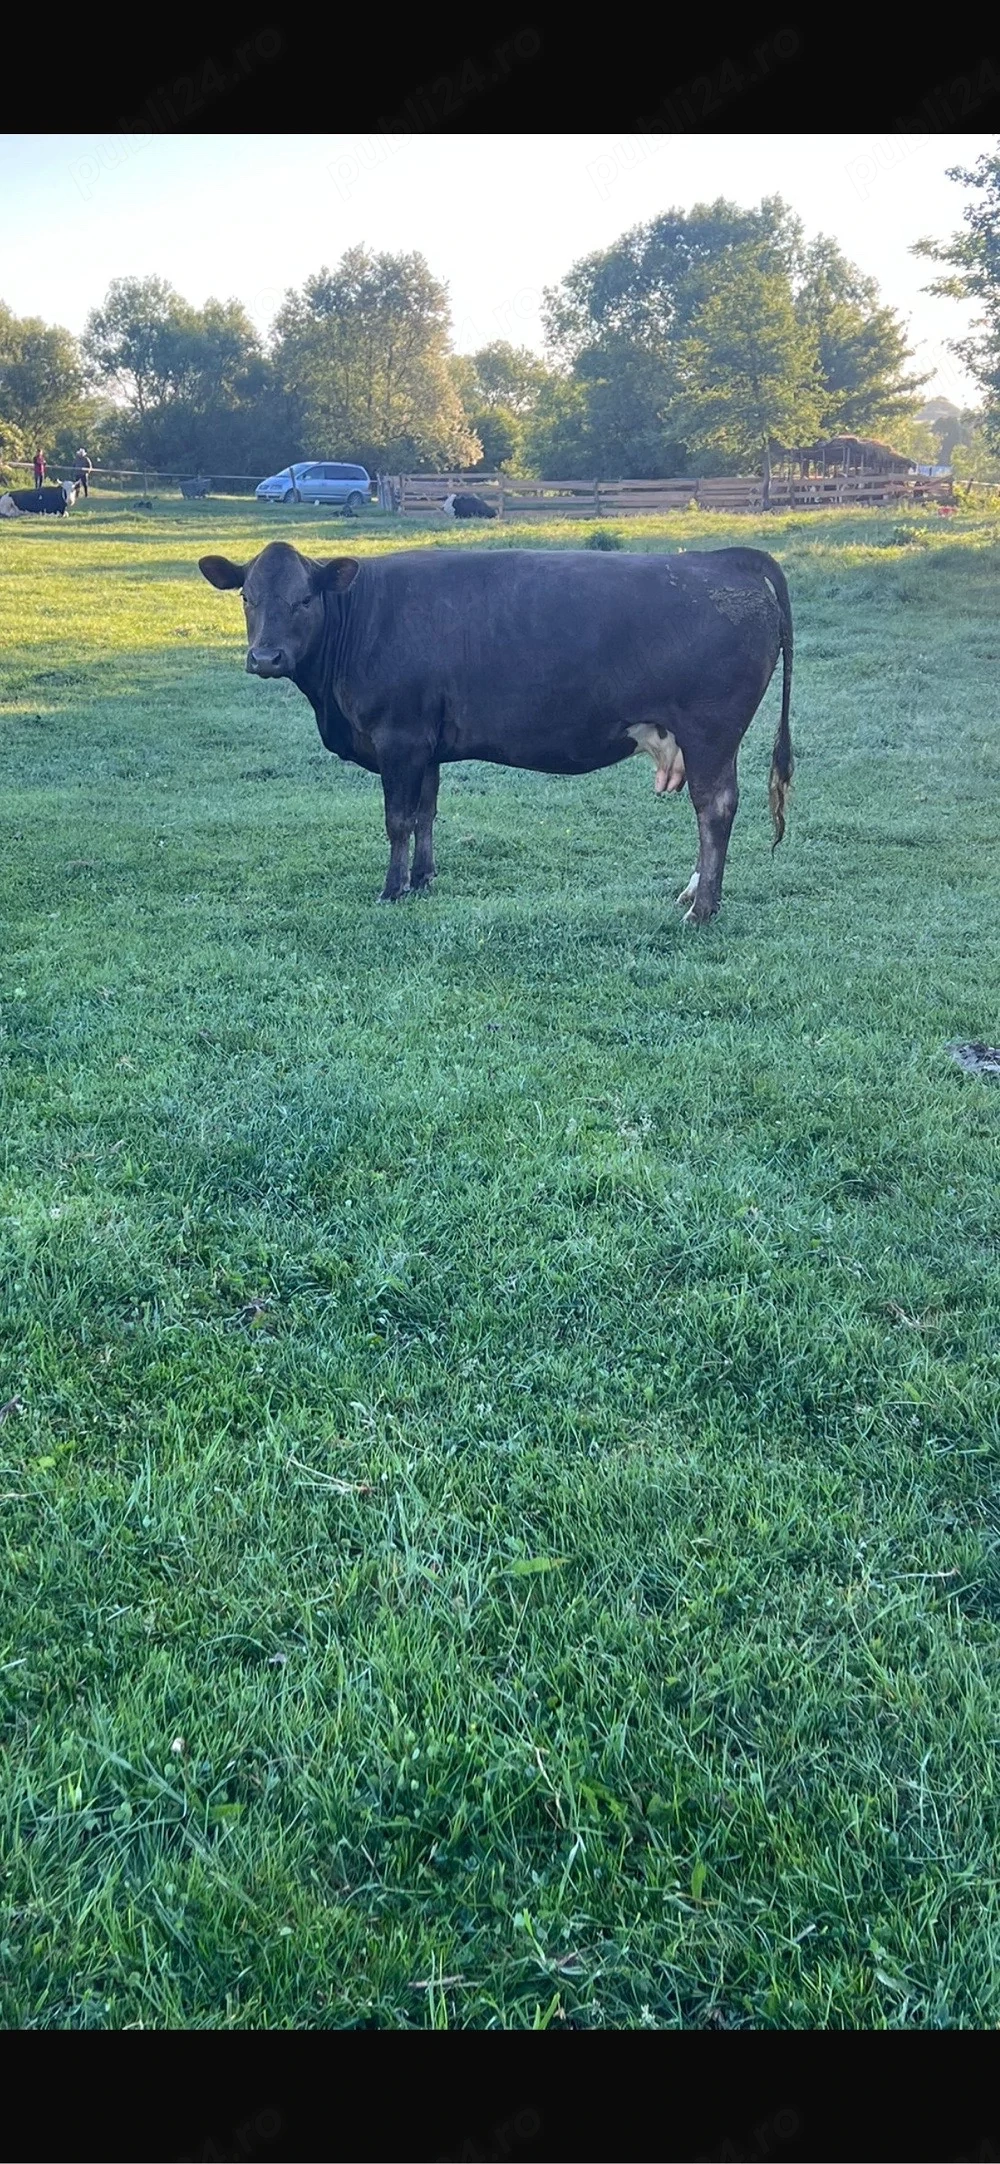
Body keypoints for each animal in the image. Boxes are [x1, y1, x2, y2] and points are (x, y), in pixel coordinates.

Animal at [198, 539, 793, 923]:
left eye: (304, 599)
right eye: (247, 597)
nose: (265, 657)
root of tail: (725, 560)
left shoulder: (398, 738)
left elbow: (397, 820)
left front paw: (392, 891)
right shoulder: (426, 746)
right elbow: (426, 814)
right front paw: (422, 880)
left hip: (711, 733)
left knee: (714, 809)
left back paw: (703, 908)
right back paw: (694, 894)